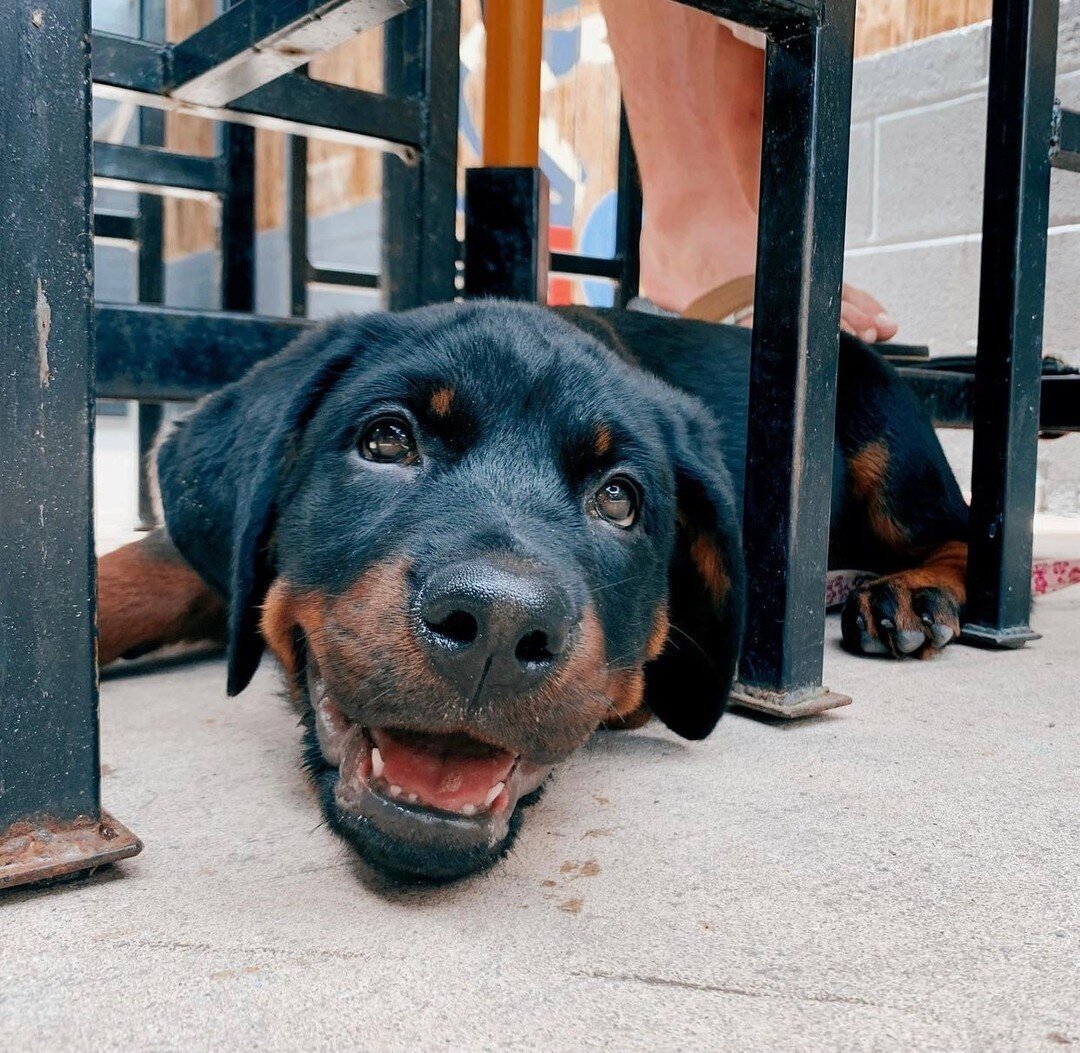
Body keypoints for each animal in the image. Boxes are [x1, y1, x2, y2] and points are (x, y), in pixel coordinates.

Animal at [95, 302, 972, 881]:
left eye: (619, 500)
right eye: (386, 439)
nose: (495, 624)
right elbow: (144, 567)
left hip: (884, 445)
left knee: (963, 527)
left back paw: (908, 598)